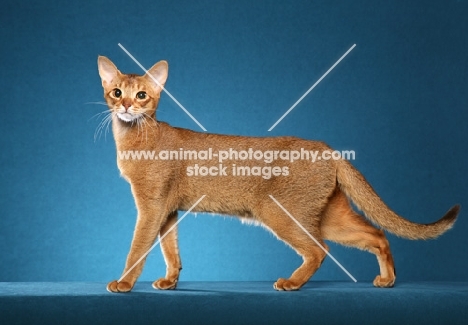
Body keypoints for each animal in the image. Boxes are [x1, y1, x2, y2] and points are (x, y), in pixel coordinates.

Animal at [97, 55, 458, 292]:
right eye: (116, 92)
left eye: (141, 95)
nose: (125, 105)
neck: (136, 138)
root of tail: (329, 149)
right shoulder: (168, 209)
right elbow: (170, 249)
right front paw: (171, 281)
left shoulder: (151, 207)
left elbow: (137, 247)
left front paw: (124, 283)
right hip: (329, 215)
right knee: (377, 234)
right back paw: (387, 279)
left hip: (281, 212)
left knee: (320, 248)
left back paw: (292, 282)